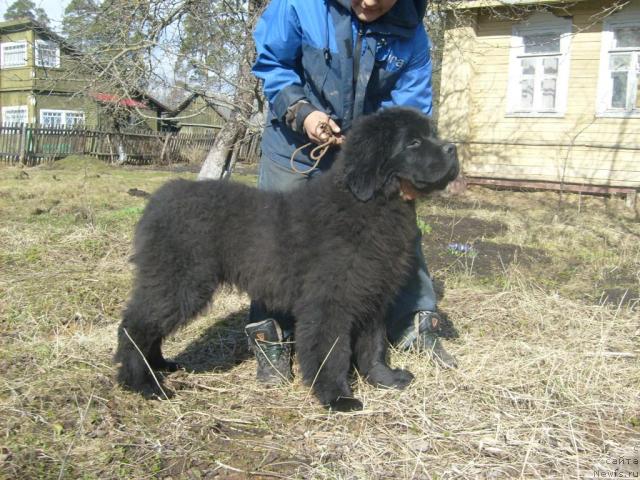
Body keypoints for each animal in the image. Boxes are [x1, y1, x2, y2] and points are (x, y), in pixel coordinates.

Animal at [114, 107, 456, 410]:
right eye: (413, 142)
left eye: (432, 135)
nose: (453, 148)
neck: (368, 205)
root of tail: (158, 199)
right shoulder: (328, 303)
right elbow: (332, 352)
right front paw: (337, 397)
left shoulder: (372, 296)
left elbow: (374, 346)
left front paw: (385, 379)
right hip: (181, 283)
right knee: (135, 327)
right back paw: (143, 384)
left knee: (148, 325)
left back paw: (160, 366)